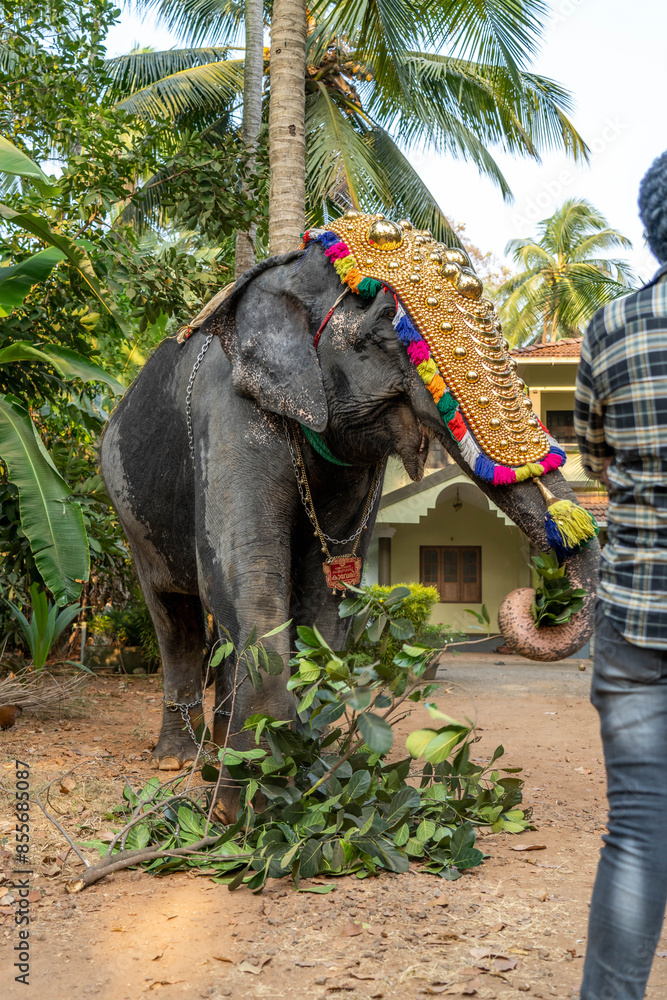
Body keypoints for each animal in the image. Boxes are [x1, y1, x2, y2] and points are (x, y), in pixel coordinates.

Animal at [100, 229, 600, 817]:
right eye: (387, 331)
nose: (538, 600)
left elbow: (326, 594)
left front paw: (308, 779)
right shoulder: (228, 408)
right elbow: (246, 570)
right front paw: (248, 804)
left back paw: (216, 749)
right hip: (129, 511)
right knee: (172, 608)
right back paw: (178, 759)